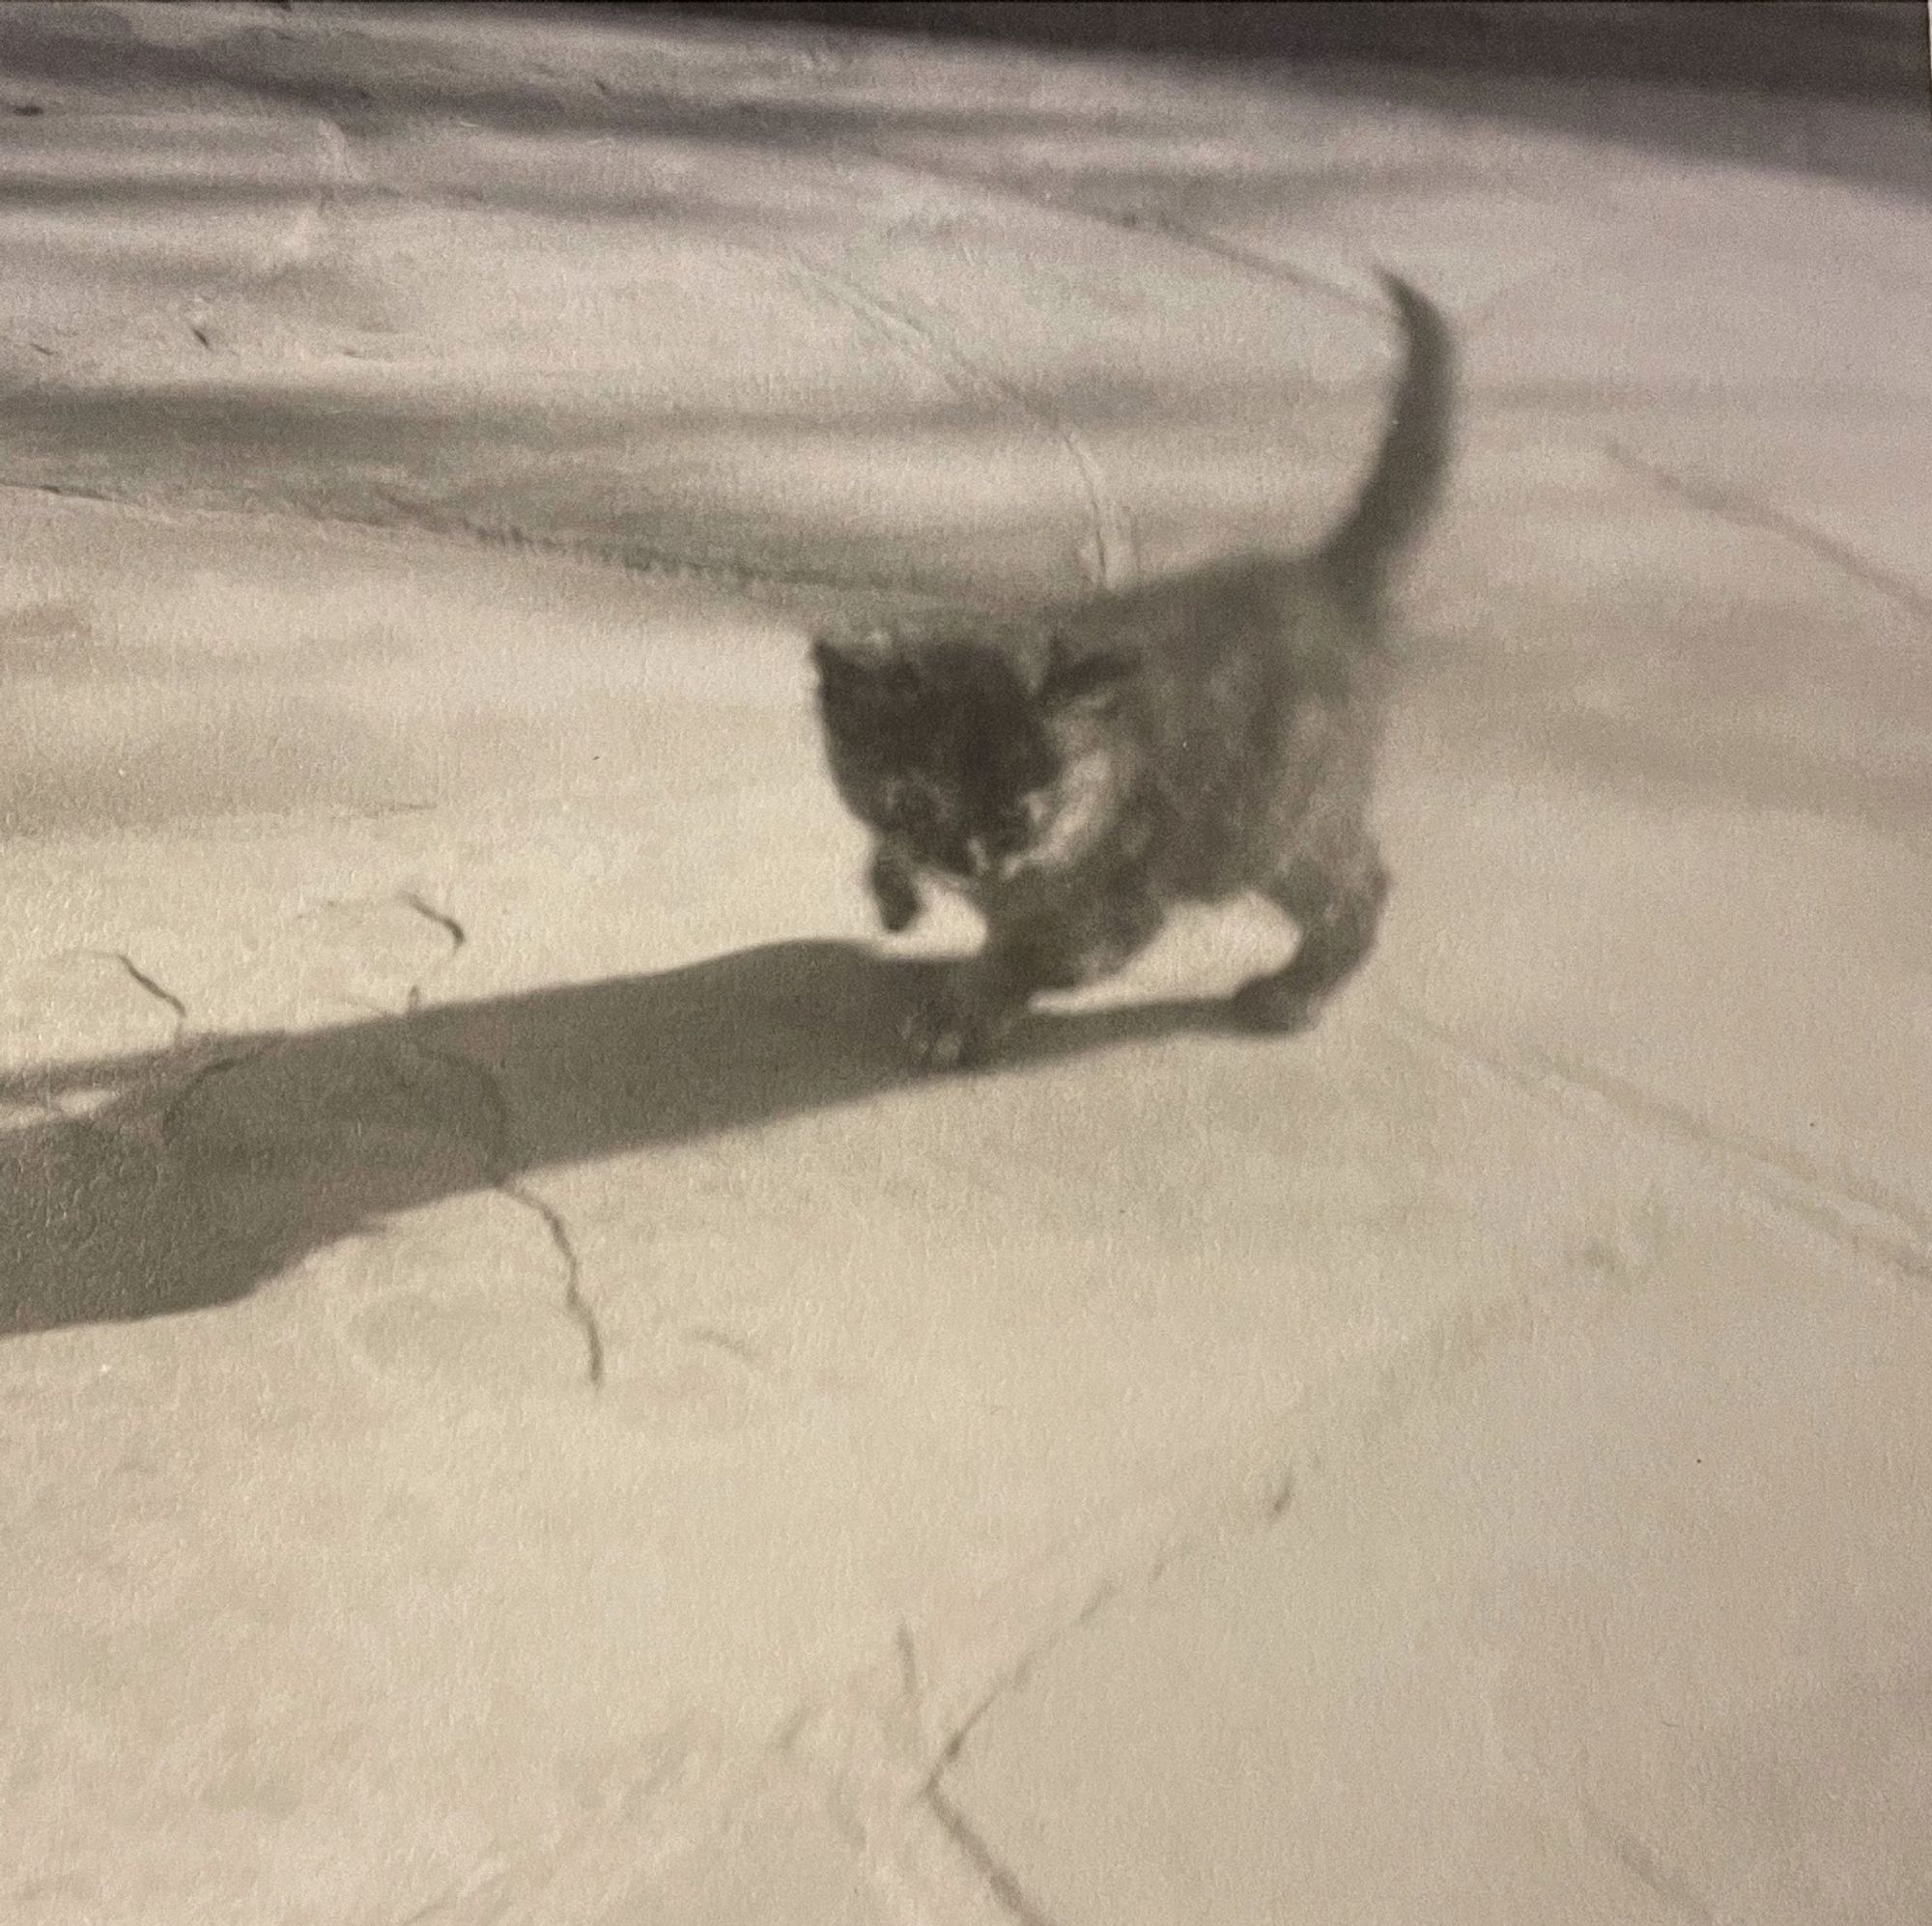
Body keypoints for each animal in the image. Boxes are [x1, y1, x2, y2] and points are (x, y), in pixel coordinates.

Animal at [808, 274, 1453, 1066]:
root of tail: (1322, 577)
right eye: (919, 803)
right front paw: (893, 886)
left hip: (1261, 826)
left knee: (1362, 886)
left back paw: (1293, 994)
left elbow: (1028, 955)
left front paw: (958, 1012)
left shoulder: (1121, 908)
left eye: (1018, 814)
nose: (968, 862)